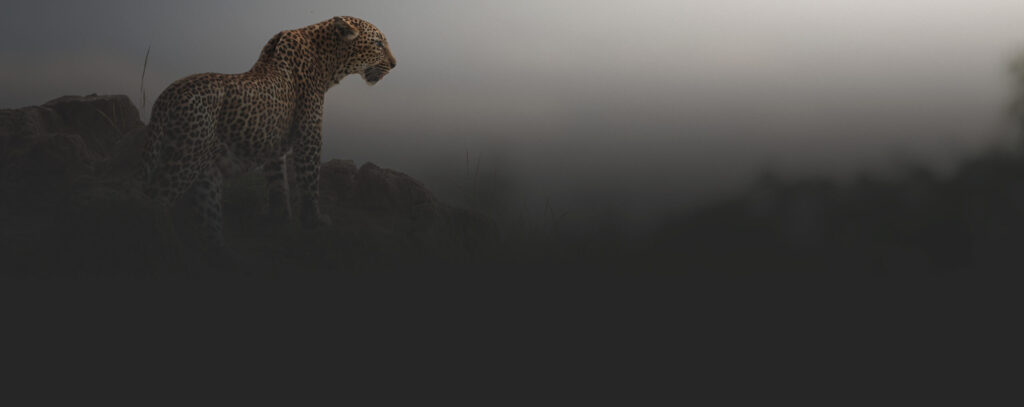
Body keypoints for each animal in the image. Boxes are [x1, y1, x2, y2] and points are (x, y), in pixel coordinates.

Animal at [138, 16, 396, 252]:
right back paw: (169, 245)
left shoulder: (274, 148)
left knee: (207, 219)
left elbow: (278, 185)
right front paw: (314, 222)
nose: (394, 64)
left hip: (205, 175)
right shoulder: (309, 132)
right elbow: (309, 178)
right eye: (379, 43)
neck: (329, 60)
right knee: (154, 202)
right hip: (186, 159)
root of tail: (167, 96)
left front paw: (280, 219)